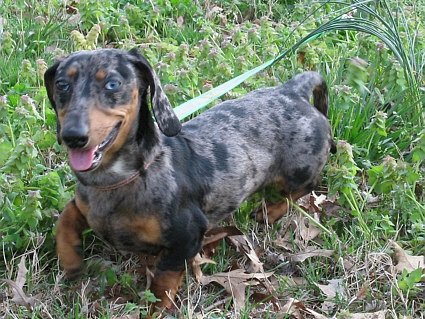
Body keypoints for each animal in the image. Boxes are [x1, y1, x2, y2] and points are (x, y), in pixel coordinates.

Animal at [43, 48, 334, 314]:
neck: (117, 179)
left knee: (305, 187)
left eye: (112, 83)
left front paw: (156, 308)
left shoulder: (189, 234)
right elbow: (65, 219)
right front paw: (70, 260)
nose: (73, 136)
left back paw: (271, 211)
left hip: (299, 170)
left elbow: (165, 276)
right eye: (61, 84)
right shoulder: (84, 206)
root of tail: (292, 91)